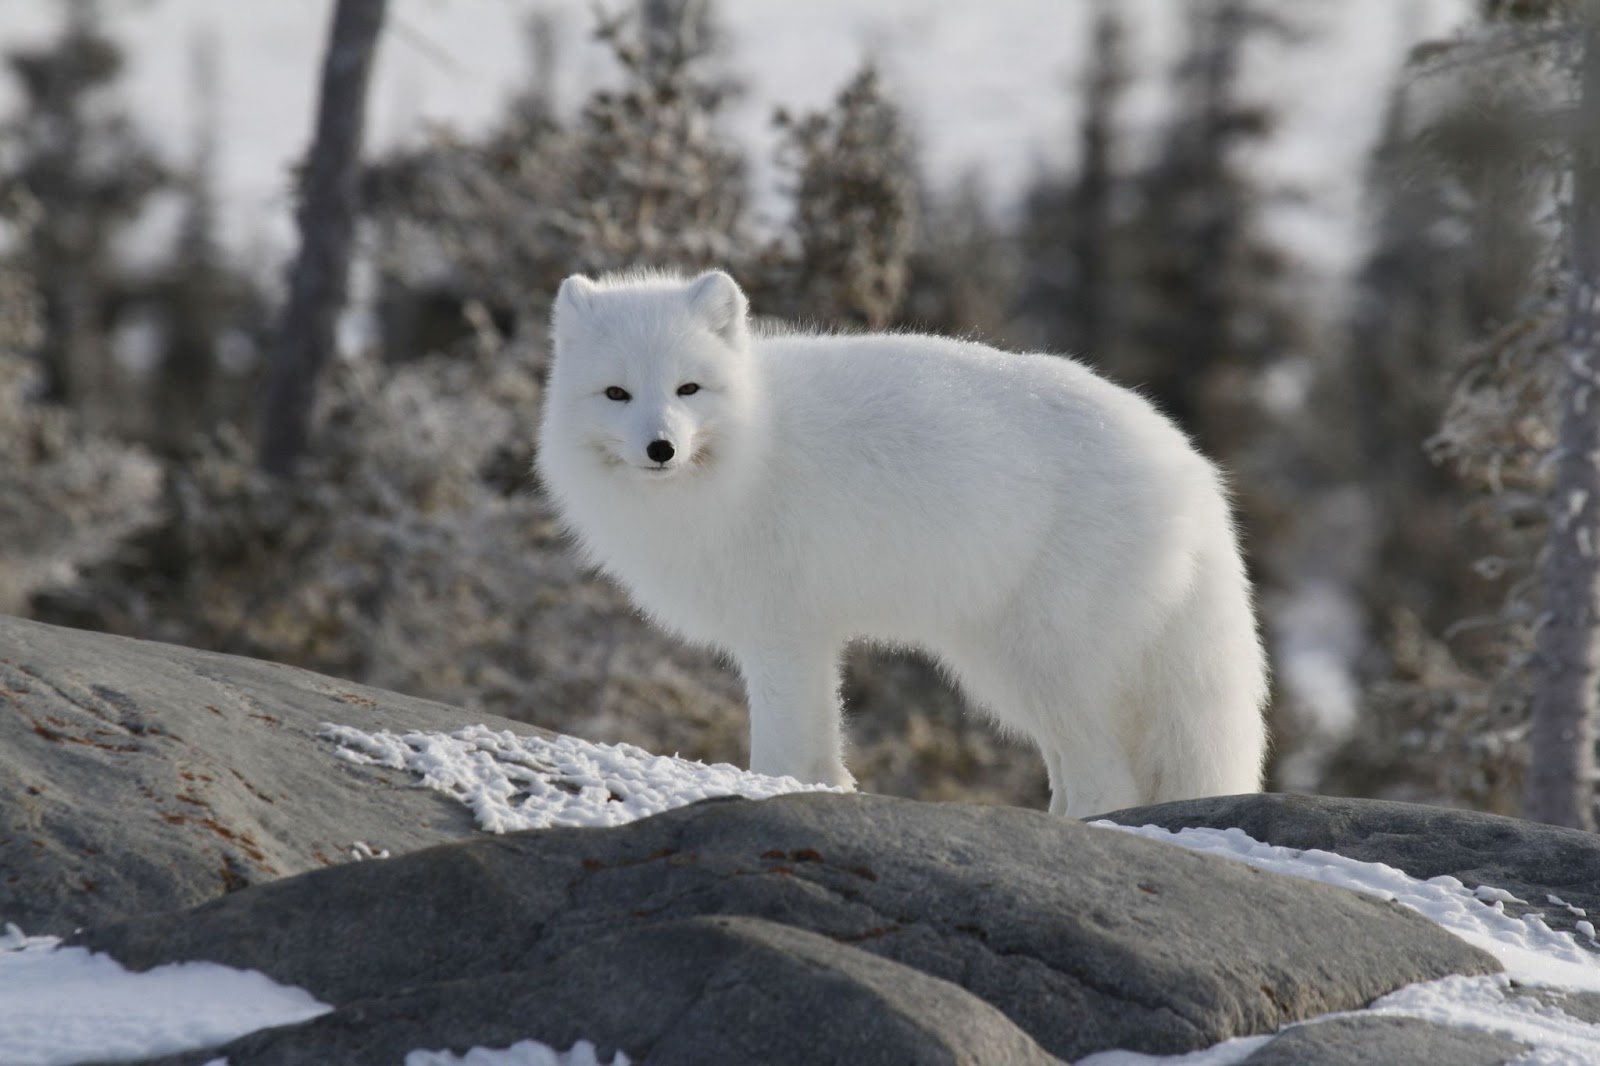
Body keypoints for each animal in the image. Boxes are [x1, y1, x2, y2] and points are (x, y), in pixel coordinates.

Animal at [536, 268, 1268, 817]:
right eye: (616, 394)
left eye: (688, 388)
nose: (660, 447)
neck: (754, 444)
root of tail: (1190, 465)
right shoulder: (804, 635)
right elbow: (821, 741)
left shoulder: (782, 631)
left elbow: (781, 741)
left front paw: (769, 791)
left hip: (1040, 662)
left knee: (1108, 781)